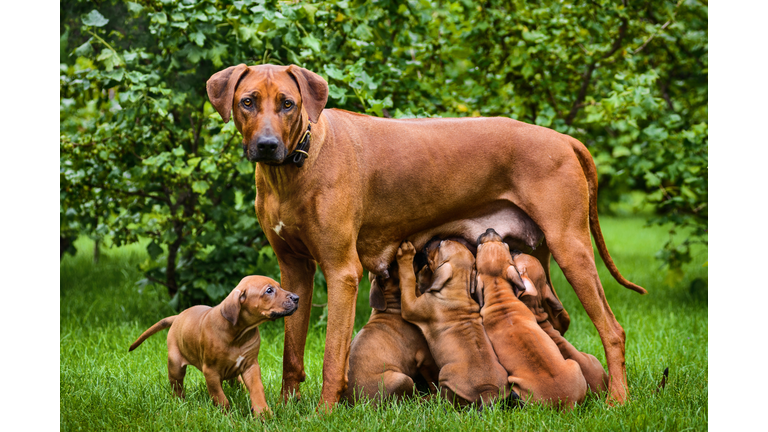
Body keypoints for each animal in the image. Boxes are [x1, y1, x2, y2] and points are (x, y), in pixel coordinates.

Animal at [127, 276, 298, 416]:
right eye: (269, 290)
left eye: (280, 286)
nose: (297, 298)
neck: (239, 334)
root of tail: (178, 316)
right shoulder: (211, 372)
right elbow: (220, 397)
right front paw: (227, 416)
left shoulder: (251, 366)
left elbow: (257, 390)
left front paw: (263, 413)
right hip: (175, 364)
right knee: (177, 386)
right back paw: (180, 403)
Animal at [396, 238, 510, 406]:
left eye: (439, 244)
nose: (430, 241)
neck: (458, 290)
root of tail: (487, 391)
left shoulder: (410, 306)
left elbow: (408, 280)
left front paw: (405, 255)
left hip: (444, 376)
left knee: (443, 398)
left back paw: (425, 399)